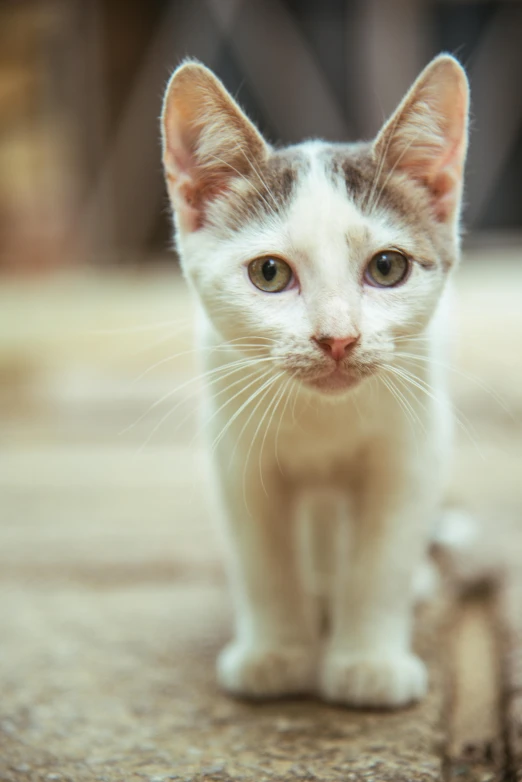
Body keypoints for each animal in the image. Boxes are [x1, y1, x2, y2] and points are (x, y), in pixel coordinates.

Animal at [158, 55, 468, 712]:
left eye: (387, 267)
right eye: (270, 273)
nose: (337, 339)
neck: (325, 416)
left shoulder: (411, 453)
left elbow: (382, 559)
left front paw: (368, 661)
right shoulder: (235, 453)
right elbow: (263, 558)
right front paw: (277, 654)